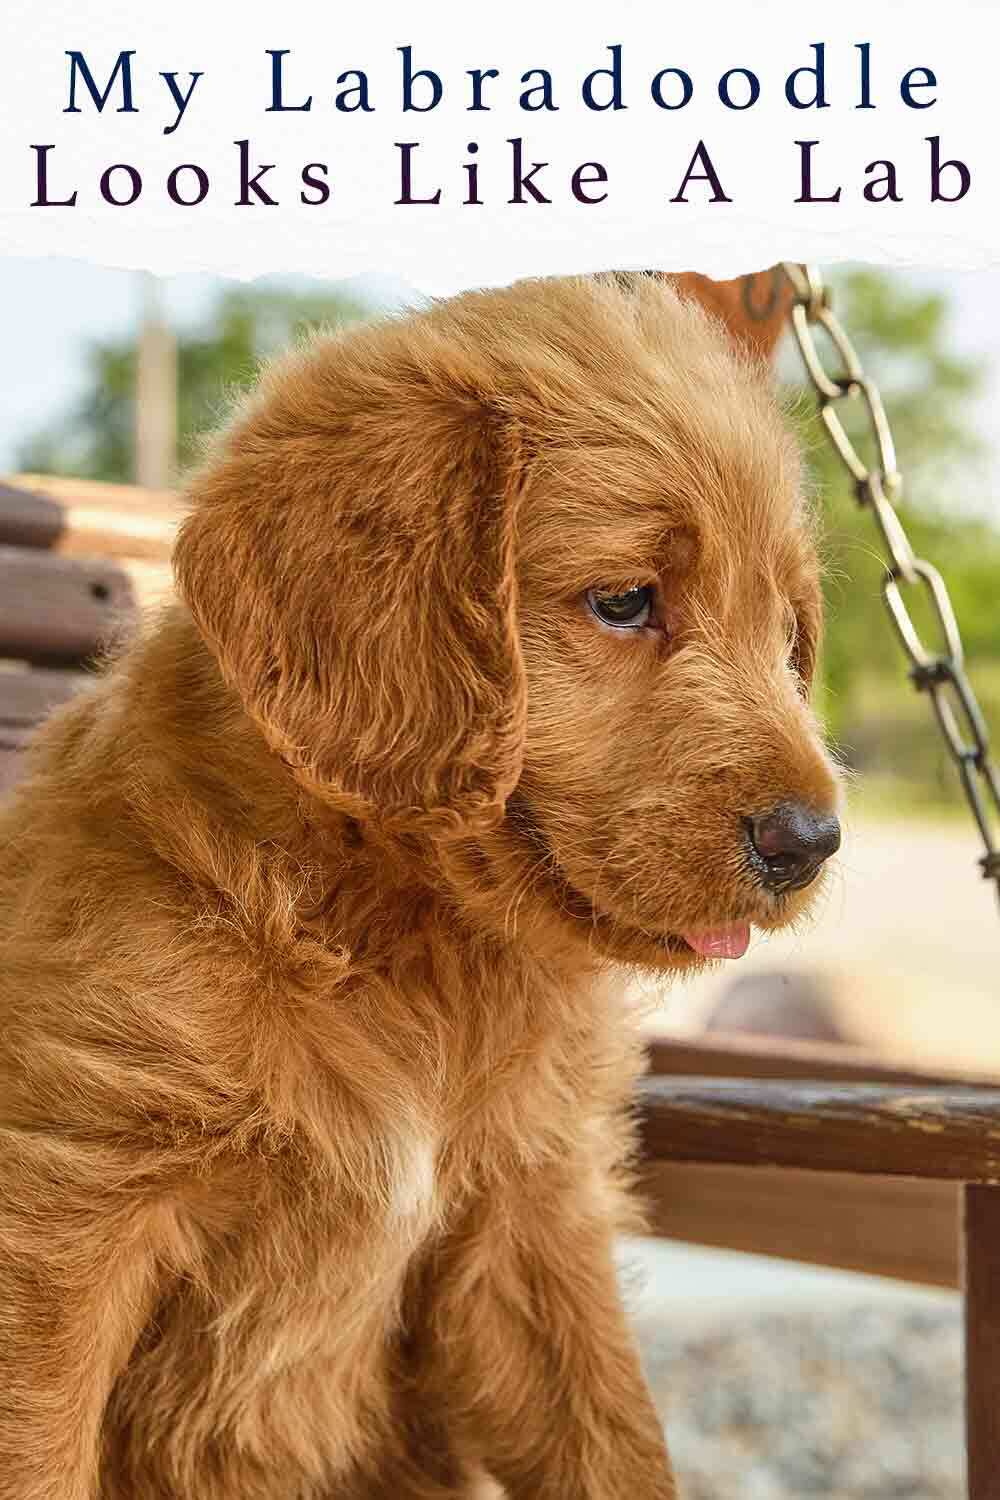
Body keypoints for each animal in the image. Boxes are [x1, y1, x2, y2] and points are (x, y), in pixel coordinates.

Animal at [0, 273, 839, 1500]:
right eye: (625, 600)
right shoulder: (68, 1223)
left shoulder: (530, 1224)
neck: (398, 943)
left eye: (786, 633)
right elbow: (38, 1452)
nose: (811, 840)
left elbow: (614, 1440)